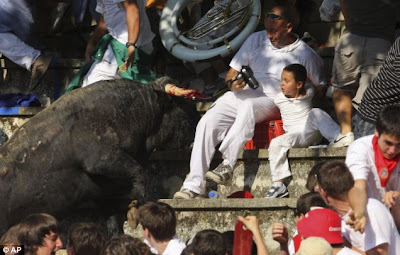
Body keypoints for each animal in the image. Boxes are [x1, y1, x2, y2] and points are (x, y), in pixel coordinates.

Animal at [0, 77, 200, 235]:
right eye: (186, 106)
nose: (199, 121)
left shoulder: (107, 190)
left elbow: (114, 217)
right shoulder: (101, 160)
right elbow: (139, 172)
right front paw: (137, 208)